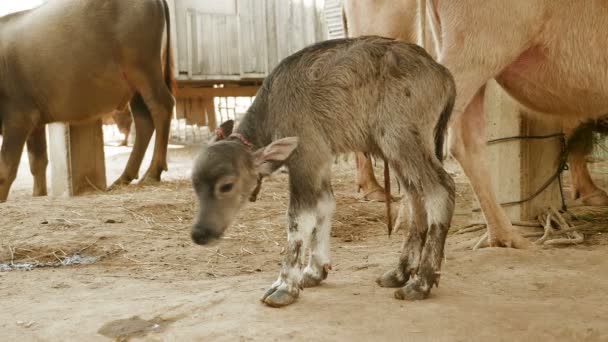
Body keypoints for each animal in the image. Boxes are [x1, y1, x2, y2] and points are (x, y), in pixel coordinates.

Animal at [0, 0, 176, 200]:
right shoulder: (35, 119)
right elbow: (37, 162)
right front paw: (38, 194)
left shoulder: (19, 117)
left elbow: (6, 169)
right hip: (135, 83)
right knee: (143, 119)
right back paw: (124, 178)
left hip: (144, 68)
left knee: (161, 106)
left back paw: (153, 172)